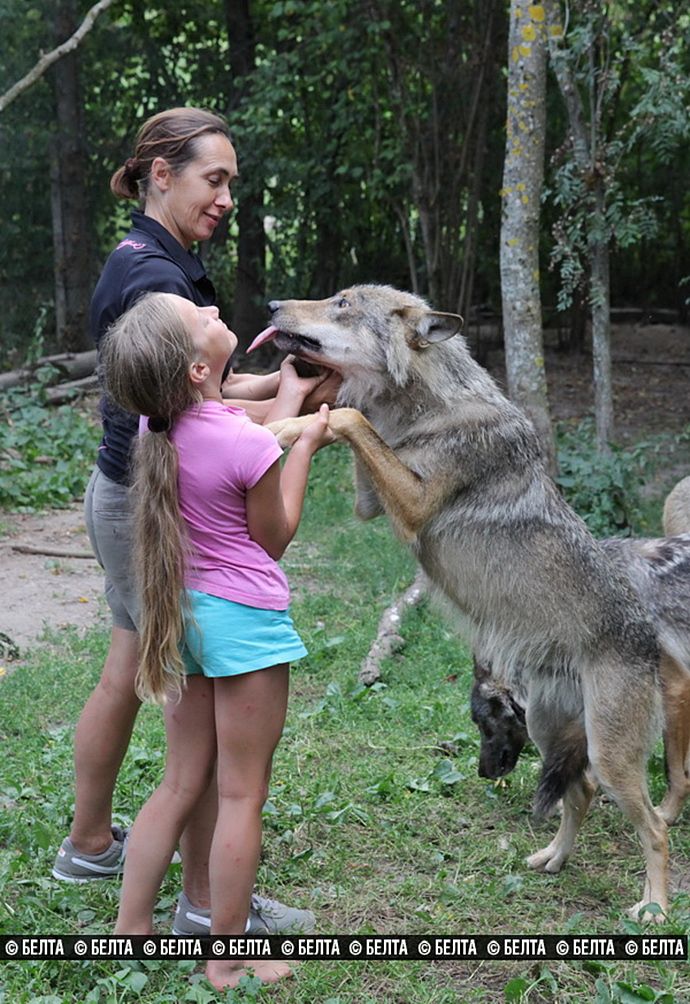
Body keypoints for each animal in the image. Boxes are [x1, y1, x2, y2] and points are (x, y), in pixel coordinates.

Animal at [263, 285, 686, 919]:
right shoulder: (370, 501)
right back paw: (552, 860)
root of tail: (647, 634)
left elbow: (347, 416)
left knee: (654, 828)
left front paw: (286, 425)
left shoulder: (413, 503)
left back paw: (653, 908)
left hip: (612, 756)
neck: (429, 407)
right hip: (550, 731)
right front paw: (287, 421)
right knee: (580, 793)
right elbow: (344, 417)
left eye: (342, 303)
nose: (270, 307)